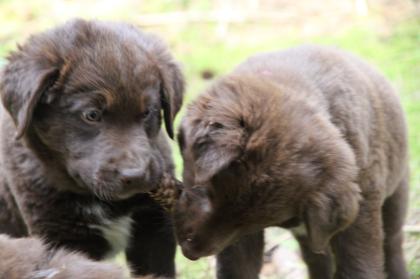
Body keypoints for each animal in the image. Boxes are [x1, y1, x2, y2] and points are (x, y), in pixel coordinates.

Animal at [173, 46, 406, 279]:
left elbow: (359, 265)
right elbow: (239, 267)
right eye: (206, 192)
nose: (190, 252)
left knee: (392, 243)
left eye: (251, 223)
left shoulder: (362, 209)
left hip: (395, 193)